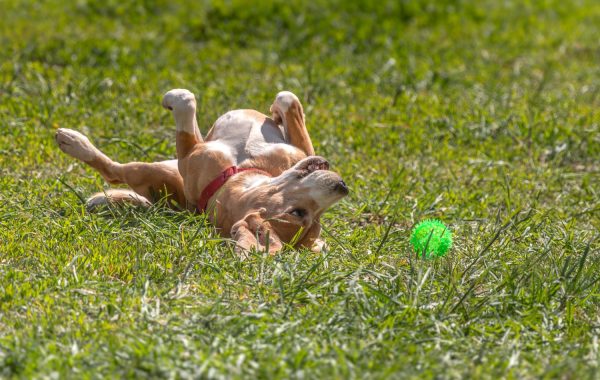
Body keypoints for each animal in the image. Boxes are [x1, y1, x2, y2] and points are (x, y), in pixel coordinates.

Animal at [57, 89, 346, 254]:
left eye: (301, 214)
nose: (341, 187)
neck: (243, 171)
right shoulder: (300, 151)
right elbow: (288, 99)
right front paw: (277, 111)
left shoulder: (190, 151)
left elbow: (185, 100)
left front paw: (171, 98)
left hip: (155, 171)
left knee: (114, 171)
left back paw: (73, 142)